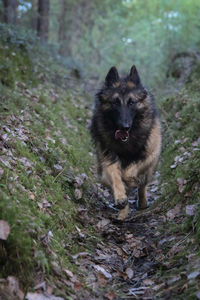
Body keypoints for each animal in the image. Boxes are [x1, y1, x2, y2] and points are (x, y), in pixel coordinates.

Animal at [90, 65, 161, 220]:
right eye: (115, 102)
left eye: (131, 102)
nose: (124, 127)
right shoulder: (108, 157)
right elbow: (116, 176)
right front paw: (121, 198)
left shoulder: (150, 154)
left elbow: (130, 172)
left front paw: (131, 181)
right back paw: (122, 212)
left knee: (143, 185)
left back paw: (141, 202)